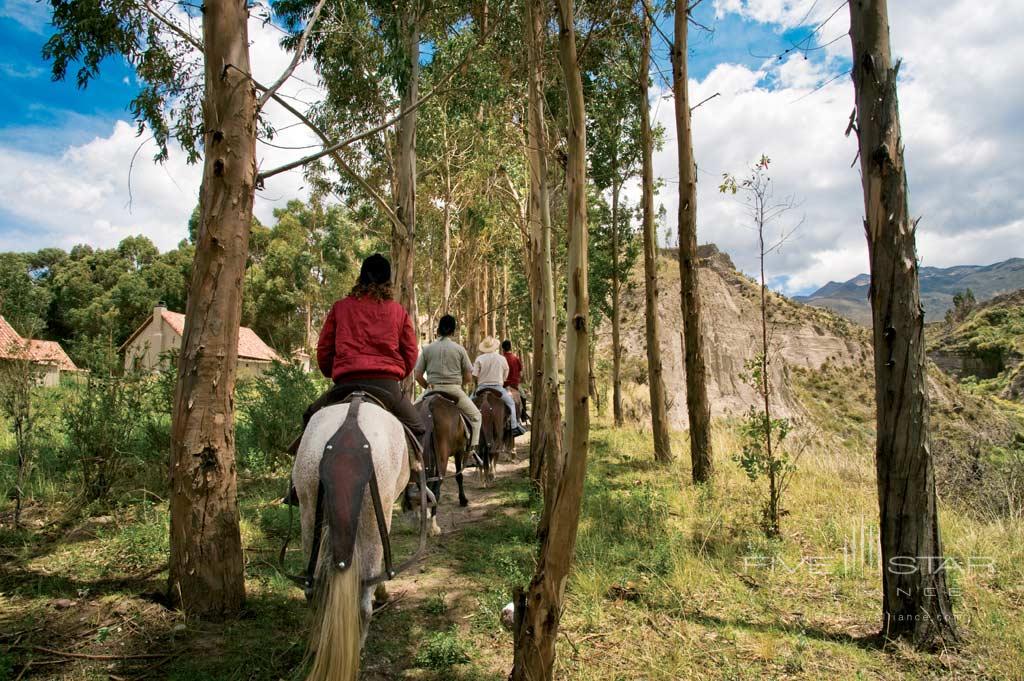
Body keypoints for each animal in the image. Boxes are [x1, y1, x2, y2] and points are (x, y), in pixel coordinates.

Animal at [292, 401, 407, 679]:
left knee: (313, 590)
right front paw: (383, 593)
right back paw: (359, 643)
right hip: (372, 521)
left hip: (308, 511)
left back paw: (317, 641)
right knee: (364, 600)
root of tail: (348, 428)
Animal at [411, 393, 468, 532]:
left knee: (424, 483)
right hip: (442, 458)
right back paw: (434, 525)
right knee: (437, 485)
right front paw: (463, 499)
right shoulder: (459, 451)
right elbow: (459, 476)